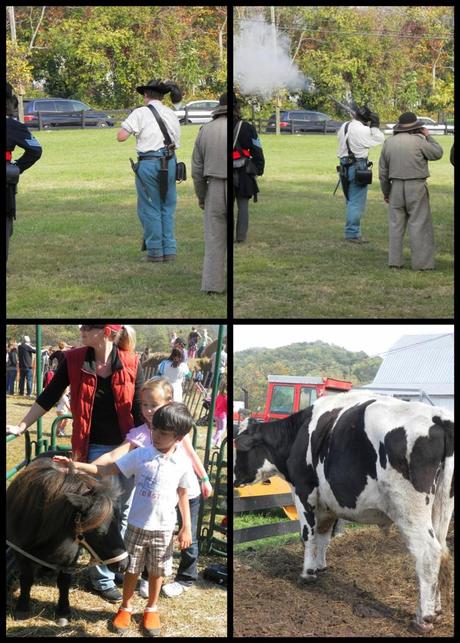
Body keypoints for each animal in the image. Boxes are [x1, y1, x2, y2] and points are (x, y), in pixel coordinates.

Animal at [235, 392, 454, 632]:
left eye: (240, 448)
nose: (235, 476)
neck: (299, 434)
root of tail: (438, 417)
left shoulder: (303, 490)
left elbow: (308, 534)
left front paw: (307, 573)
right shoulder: (328, 502)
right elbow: (323, 535)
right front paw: (320, 567)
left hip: (410, 510)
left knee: (428, 553)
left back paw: (423, 618)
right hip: (441, 509)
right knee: (442, 552)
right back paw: (437, 610)